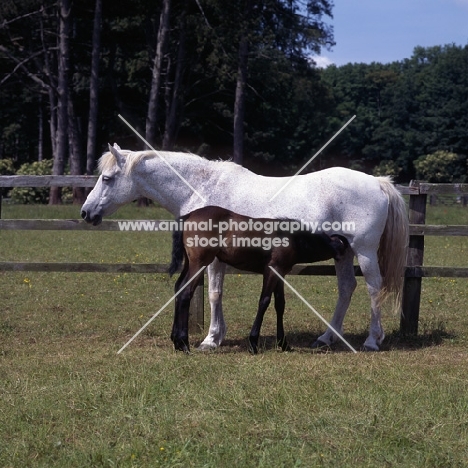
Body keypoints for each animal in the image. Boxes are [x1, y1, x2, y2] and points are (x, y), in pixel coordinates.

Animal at [168, 207, 348, 352]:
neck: (290, 237)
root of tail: (190, 215)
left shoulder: (280, 274)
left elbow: (280, 304)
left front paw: (284, 344)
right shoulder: (271, 271)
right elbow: (264, 301)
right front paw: (253, 343)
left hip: (190, 264)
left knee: (178, 288)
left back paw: (176, 340)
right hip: (199, 264)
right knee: (185, 293)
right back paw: (183, 343)